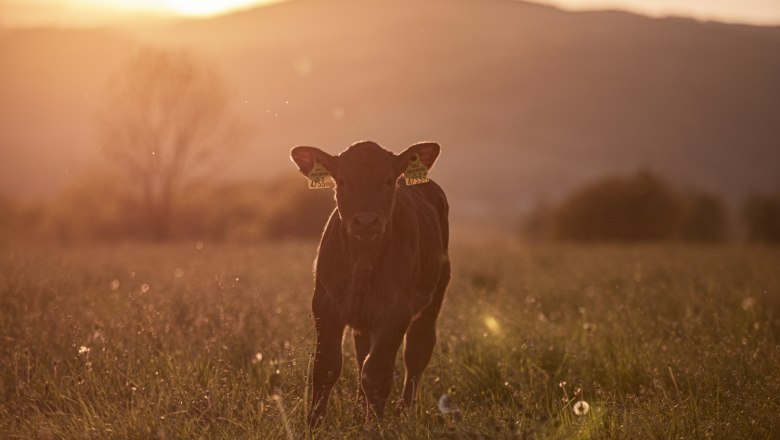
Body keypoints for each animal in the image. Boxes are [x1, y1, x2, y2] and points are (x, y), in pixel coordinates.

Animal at [289, 140, 450, 428]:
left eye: (388, 181)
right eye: (342, 181)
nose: (366, 221)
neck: (363, 260)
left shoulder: (396, 311)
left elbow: (376, 373)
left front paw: (373, 426)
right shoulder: (325, 304)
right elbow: (326, 367)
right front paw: (314, 424)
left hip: (437, 290)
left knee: (417, 350)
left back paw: (403, 413)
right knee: (362, 350)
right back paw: (359, 409)